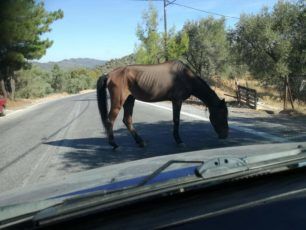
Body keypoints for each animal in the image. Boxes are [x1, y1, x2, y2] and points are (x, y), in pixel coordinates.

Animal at [97, 60, 228, 149]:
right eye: (222, 114)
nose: (225, 135)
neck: (185, 76)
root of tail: (108, 74)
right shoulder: (177, 100)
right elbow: (176, 120)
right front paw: (179, 140)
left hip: (129, 100)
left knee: (127, 120)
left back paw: (140, 142)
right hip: (118, 102)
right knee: (110, 120)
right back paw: (114, 144)